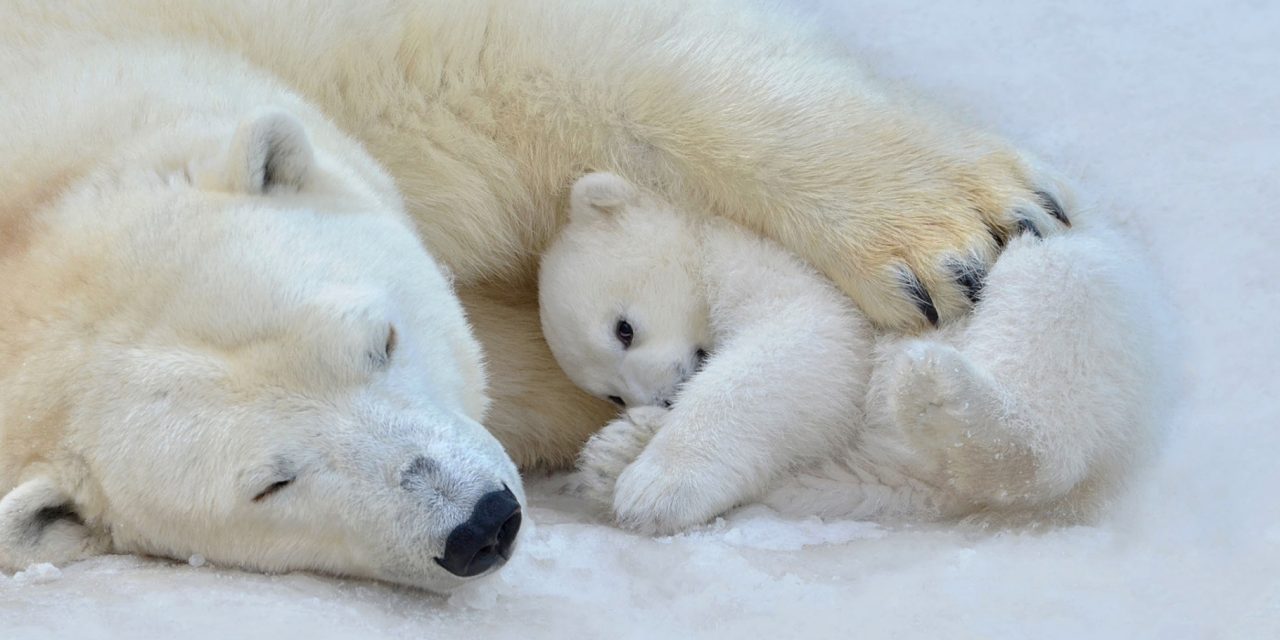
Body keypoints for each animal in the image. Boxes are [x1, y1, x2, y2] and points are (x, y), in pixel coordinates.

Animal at [539, 173, 1165, 534]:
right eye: (610, 393)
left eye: (624, 329)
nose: (664, 397)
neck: (705, 222)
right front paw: (622, 449)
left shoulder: (763, 256)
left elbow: (810, 340)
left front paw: (656, 488)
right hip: (887, 479)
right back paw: (612, 456)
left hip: (1072, 285)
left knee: (1050, 304)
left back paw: (944, 396)